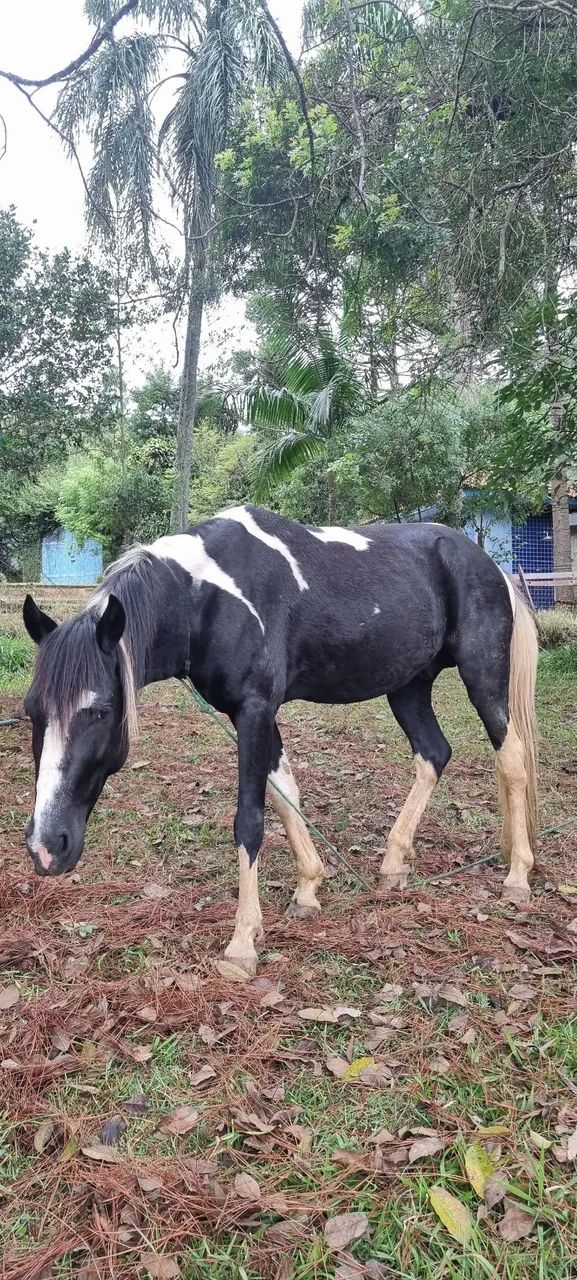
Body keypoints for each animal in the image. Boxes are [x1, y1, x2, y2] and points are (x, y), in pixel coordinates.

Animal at [22, 504, 538, 974]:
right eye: (31, 712)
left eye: (101, 711)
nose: (46, 848)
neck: (203, 597)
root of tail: (489, 566)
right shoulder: (251, 715)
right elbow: (285, 791)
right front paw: (308, 888)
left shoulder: (254, 710)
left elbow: (250, 820)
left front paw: (242, 943)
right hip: (408, 686)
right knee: (433, 755)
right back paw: (394, 861)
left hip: (482, 676)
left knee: (511, 760)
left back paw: (518, 874)